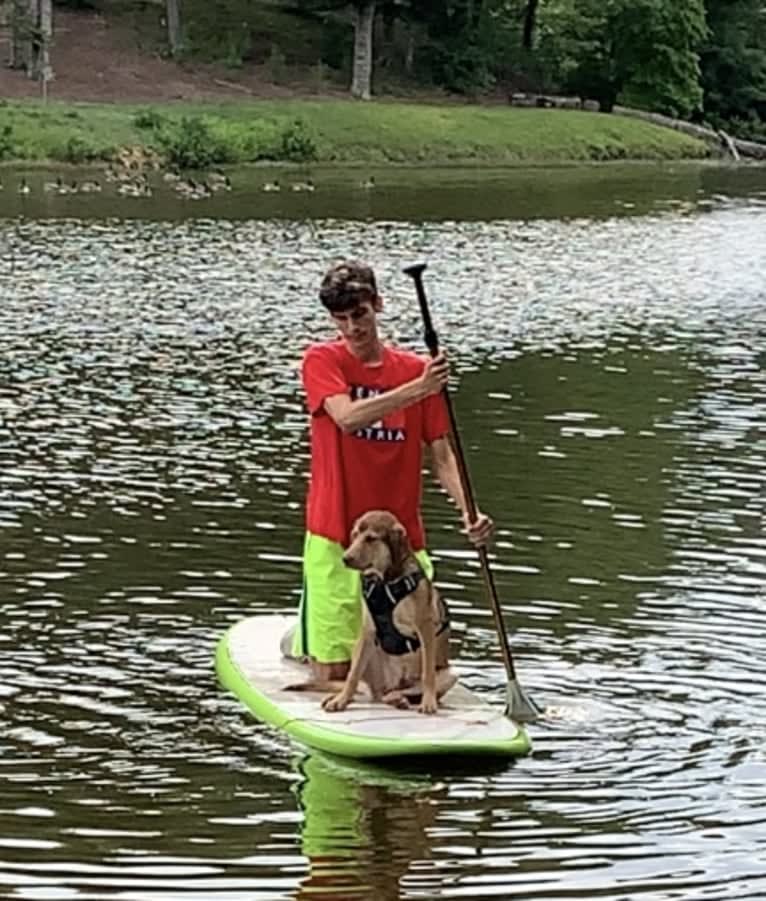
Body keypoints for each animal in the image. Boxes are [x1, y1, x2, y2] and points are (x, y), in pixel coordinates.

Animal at [321, 510, 456, 715]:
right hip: (362, 650)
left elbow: (428, 673)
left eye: (371, 538)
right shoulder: (368, 630)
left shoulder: (425, 627)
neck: (385, 583)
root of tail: (393, 684)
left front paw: (428, 702)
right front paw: (340, 700)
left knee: (406, 691)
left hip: (449, 673)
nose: (345, 558)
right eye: (355, 535)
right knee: (377, 693)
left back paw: (401, 699)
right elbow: (353, 674)